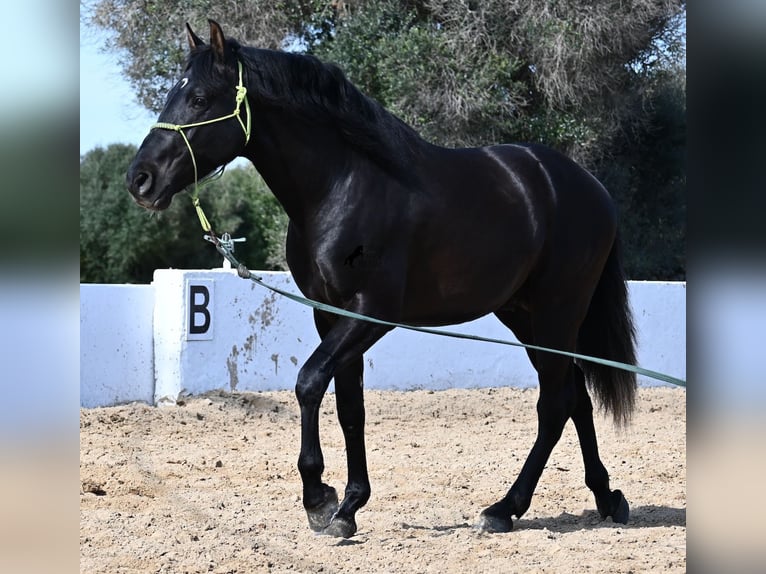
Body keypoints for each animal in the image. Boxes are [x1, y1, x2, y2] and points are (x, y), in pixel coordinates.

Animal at [129, 19, 640, 540]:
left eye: (199, 98)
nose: (140, 179)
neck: (343, 187)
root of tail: (590, 188)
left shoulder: (370, 313)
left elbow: (309, 382)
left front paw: (319, 498)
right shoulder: (329, 314)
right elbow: (349, 407)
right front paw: (348, 507)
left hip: (558, 310)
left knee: (555, 405)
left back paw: (504, 508)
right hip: (524, 315)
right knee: (575, 396)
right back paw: (606, 497)